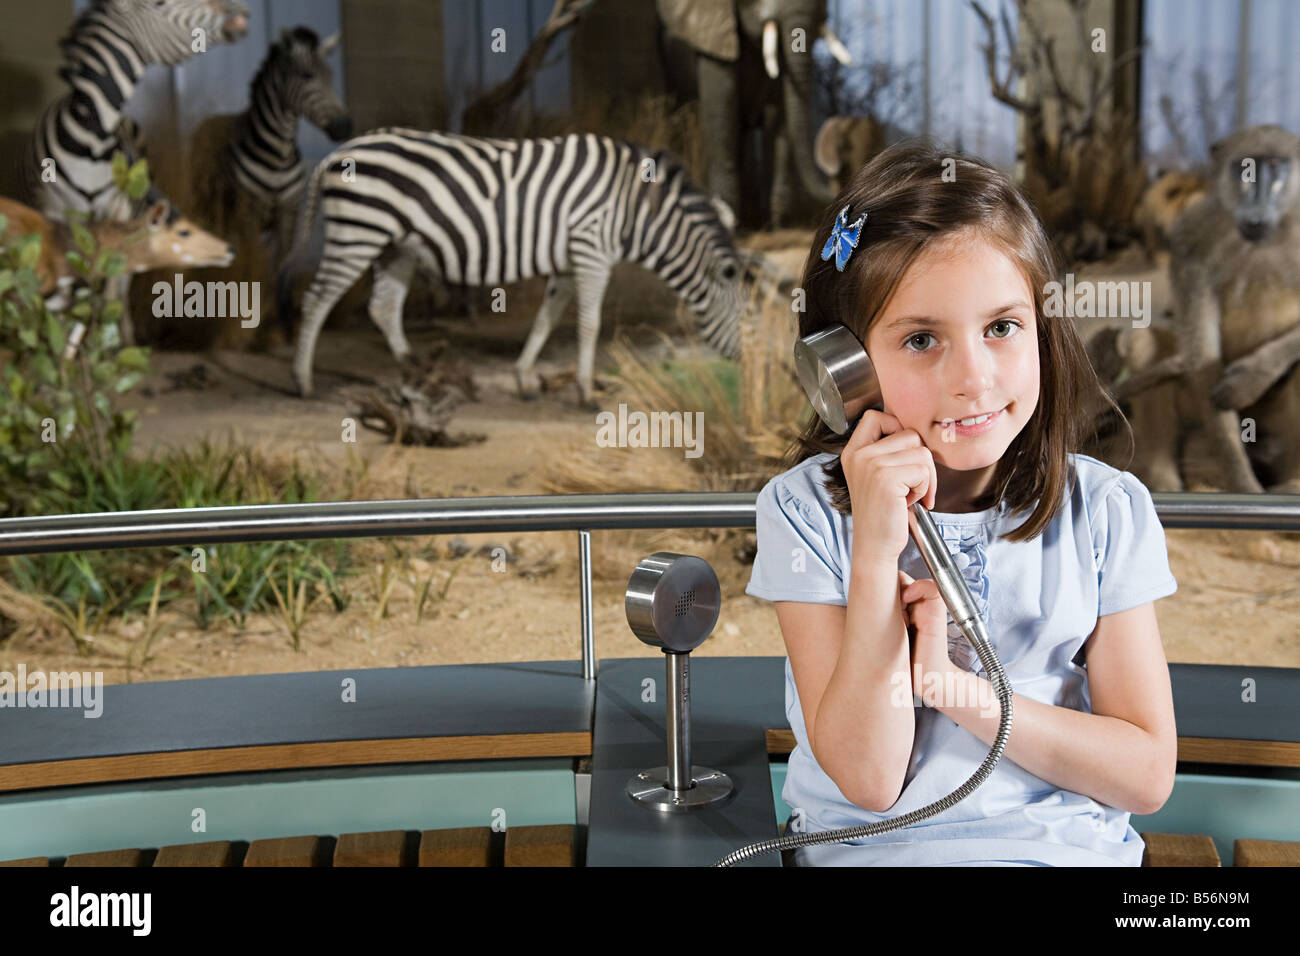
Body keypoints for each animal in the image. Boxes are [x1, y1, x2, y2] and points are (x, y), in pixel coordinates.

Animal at [188, 25, 351, 277]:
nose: (345, 126)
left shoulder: (288, 216)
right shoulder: (248, 214)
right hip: (206, 204)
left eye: (331, 75)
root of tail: (208, 121)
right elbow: (250, 268)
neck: (279, 156)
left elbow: (278, 270)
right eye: (306, 75)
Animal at [284, 130, 754, 408]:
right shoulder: (592, 249)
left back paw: (414, 372)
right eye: (746, 316)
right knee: (316, 300)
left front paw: (524, 378)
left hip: (396, 245)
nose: (748, 366)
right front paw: (586, 391)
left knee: (383, 307)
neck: (636, 210)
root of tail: (339, 151)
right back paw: (303, 381)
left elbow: (547, 318)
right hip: (359, 233)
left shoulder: (568, 261)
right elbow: (589, 324)